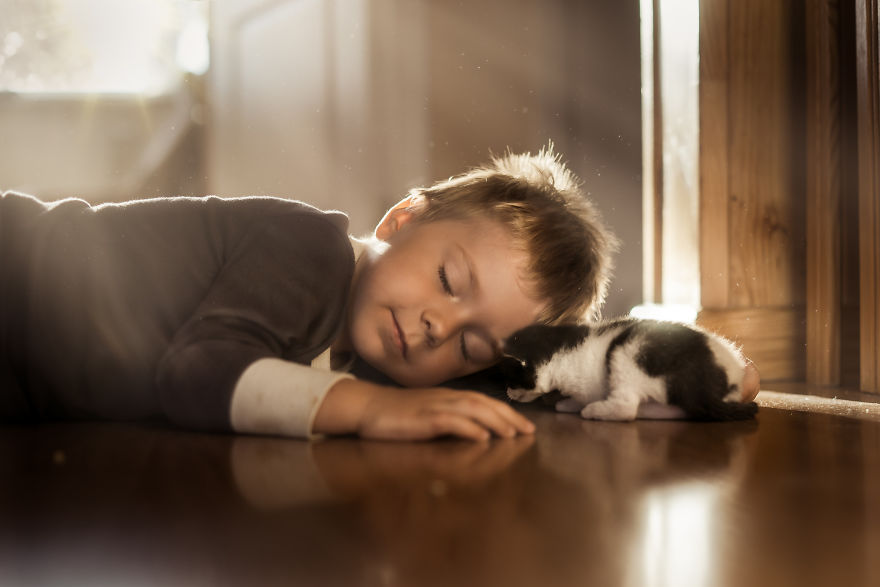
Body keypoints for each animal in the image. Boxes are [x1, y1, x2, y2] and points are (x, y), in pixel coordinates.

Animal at [498, 320, 760, 420]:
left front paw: (578, 405)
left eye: (511, 378)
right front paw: (570, 402)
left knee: (626, 408)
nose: (507, 392)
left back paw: (595, 411)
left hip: (627, 353)